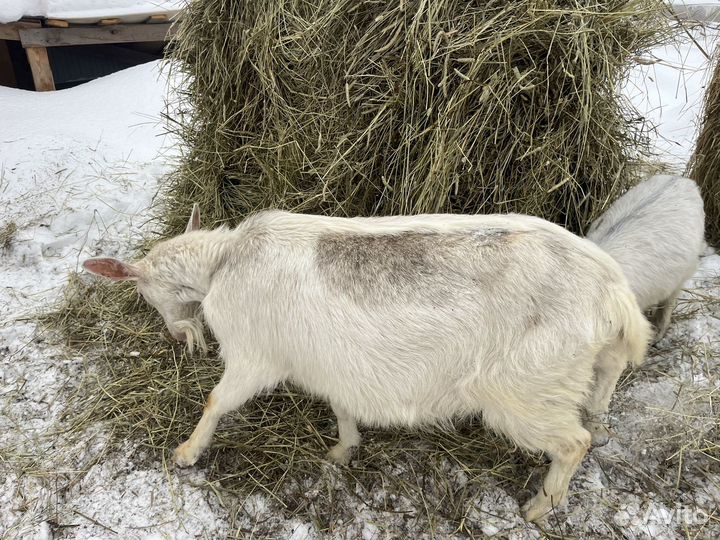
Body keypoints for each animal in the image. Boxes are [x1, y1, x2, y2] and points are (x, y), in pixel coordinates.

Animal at [83, 206, 651, 522]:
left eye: (141, 290)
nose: (176, 334)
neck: (222, 263)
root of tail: (612, 291)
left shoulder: (254, 356)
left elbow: (216, 399)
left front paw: (186, 453)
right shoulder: (332, 364)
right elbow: (341, 406)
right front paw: (343, 450)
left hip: (526, 388)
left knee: (572, 443)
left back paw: (538, 508)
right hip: (582, 374)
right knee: (594, 416)